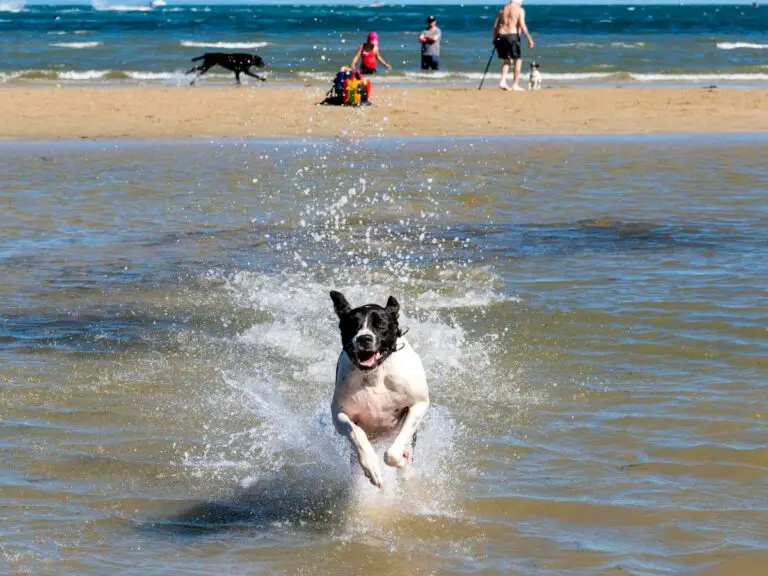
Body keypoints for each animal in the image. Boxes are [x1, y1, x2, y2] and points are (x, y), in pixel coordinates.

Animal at [328, 290, 428, 488]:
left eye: (381, 323)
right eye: (353, 324)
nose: (364, 338)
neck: (376, 373)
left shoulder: (419, 404)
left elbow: (393, 453)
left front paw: (401, 457)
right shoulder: (339, 415)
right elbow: (356, 433)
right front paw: (371, 466)